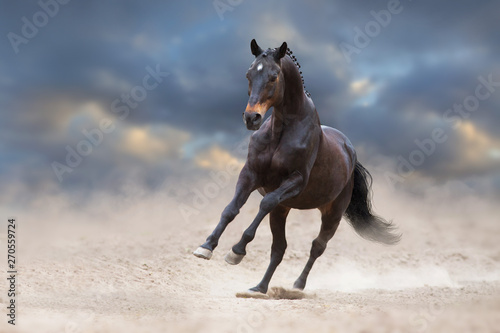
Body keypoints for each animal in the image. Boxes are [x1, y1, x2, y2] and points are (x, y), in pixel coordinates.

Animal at [193, 39, 400, 296]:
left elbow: (265, 202)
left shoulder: (295, 181)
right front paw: (206, 247)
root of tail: (350, 153)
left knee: (317, 247)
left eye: (273, 77)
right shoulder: (250, 174)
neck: (281, 131)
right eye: (248, 74)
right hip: (283, 210)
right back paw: (259, 288)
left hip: (332, 214)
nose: (251, 118)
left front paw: (236, 251)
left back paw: (297, 286)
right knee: (279, 248)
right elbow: (231, 209)